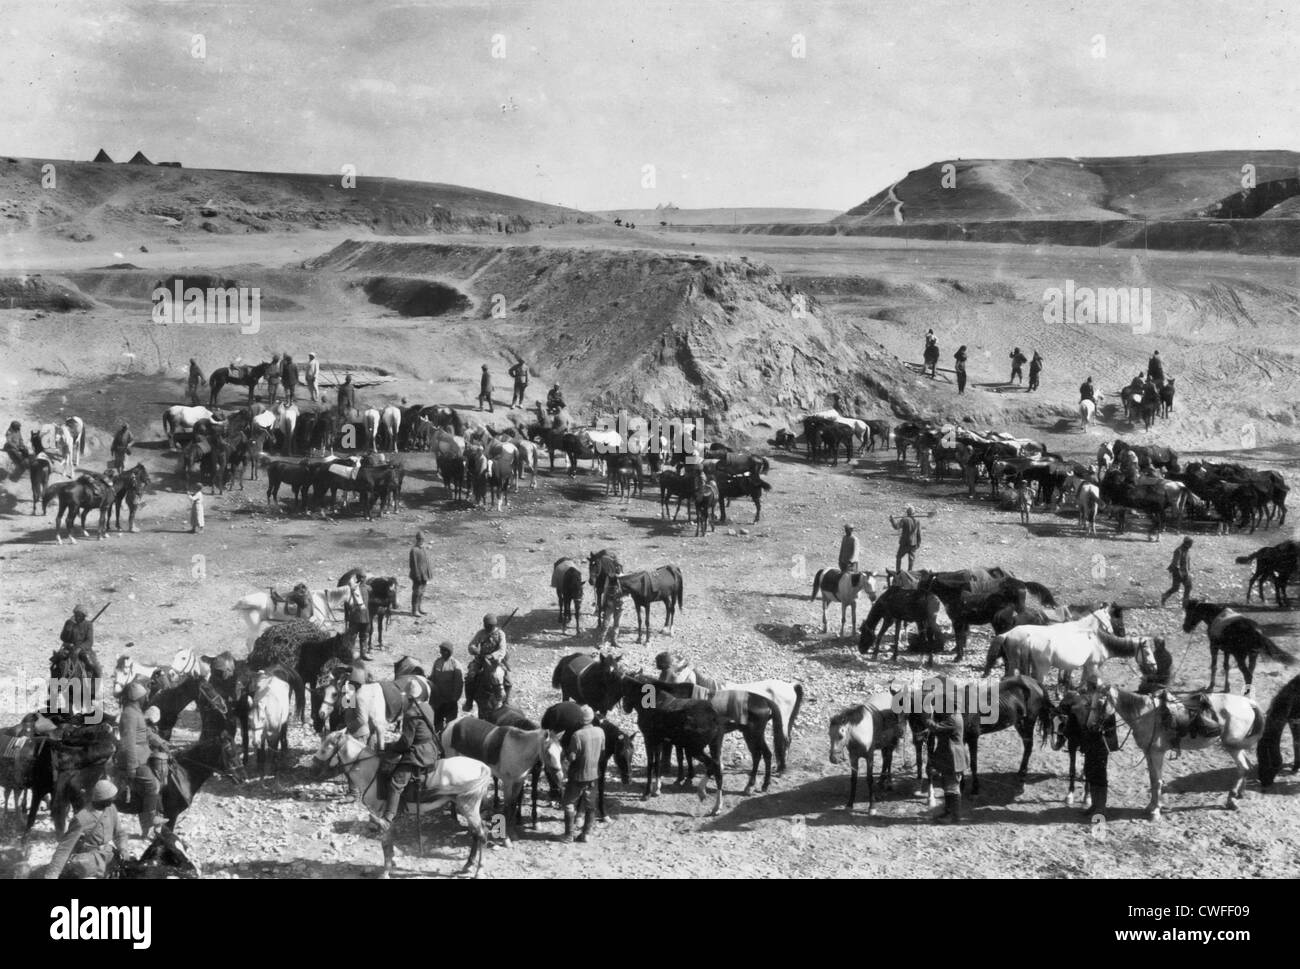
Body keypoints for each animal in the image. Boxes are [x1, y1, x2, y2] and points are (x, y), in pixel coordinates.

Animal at [314, 728, 491, 879]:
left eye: (323, 750)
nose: (312, 768)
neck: (372, 771)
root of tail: (482, 766)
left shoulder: (382, 816)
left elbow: (385, 843)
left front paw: (385, 871)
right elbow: (389, 843)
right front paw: (391, 863)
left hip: (468, 807)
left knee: (481, 835)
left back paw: (479, 870)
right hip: (468, 808)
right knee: (476, 834)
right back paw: (468, 865)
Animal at [441, 712, 564, 842]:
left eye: (560, 751)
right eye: (548, 752)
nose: (560, 776)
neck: (518, 750)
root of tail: (450, 725)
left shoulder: (519, 782)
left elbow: (513, 804)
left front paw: (512, 833)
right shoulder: (507, 782)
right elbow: (507, 807)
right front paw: (506, 838)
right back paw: (455, 817)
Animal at [621, 671, 728, 816]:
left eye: (627, 690)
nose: (625, 708)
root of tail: (713, 716)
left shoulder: (649, 739)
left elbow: (650, 764)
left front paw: (647, 793)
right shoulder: (659, 740)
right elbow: (657, 762)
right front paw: (656, 789)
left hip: (694, 749)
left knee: (713, 765)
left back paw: (704, 795)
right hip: (714, 746)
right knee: (717, 768)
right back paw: (716, 805)